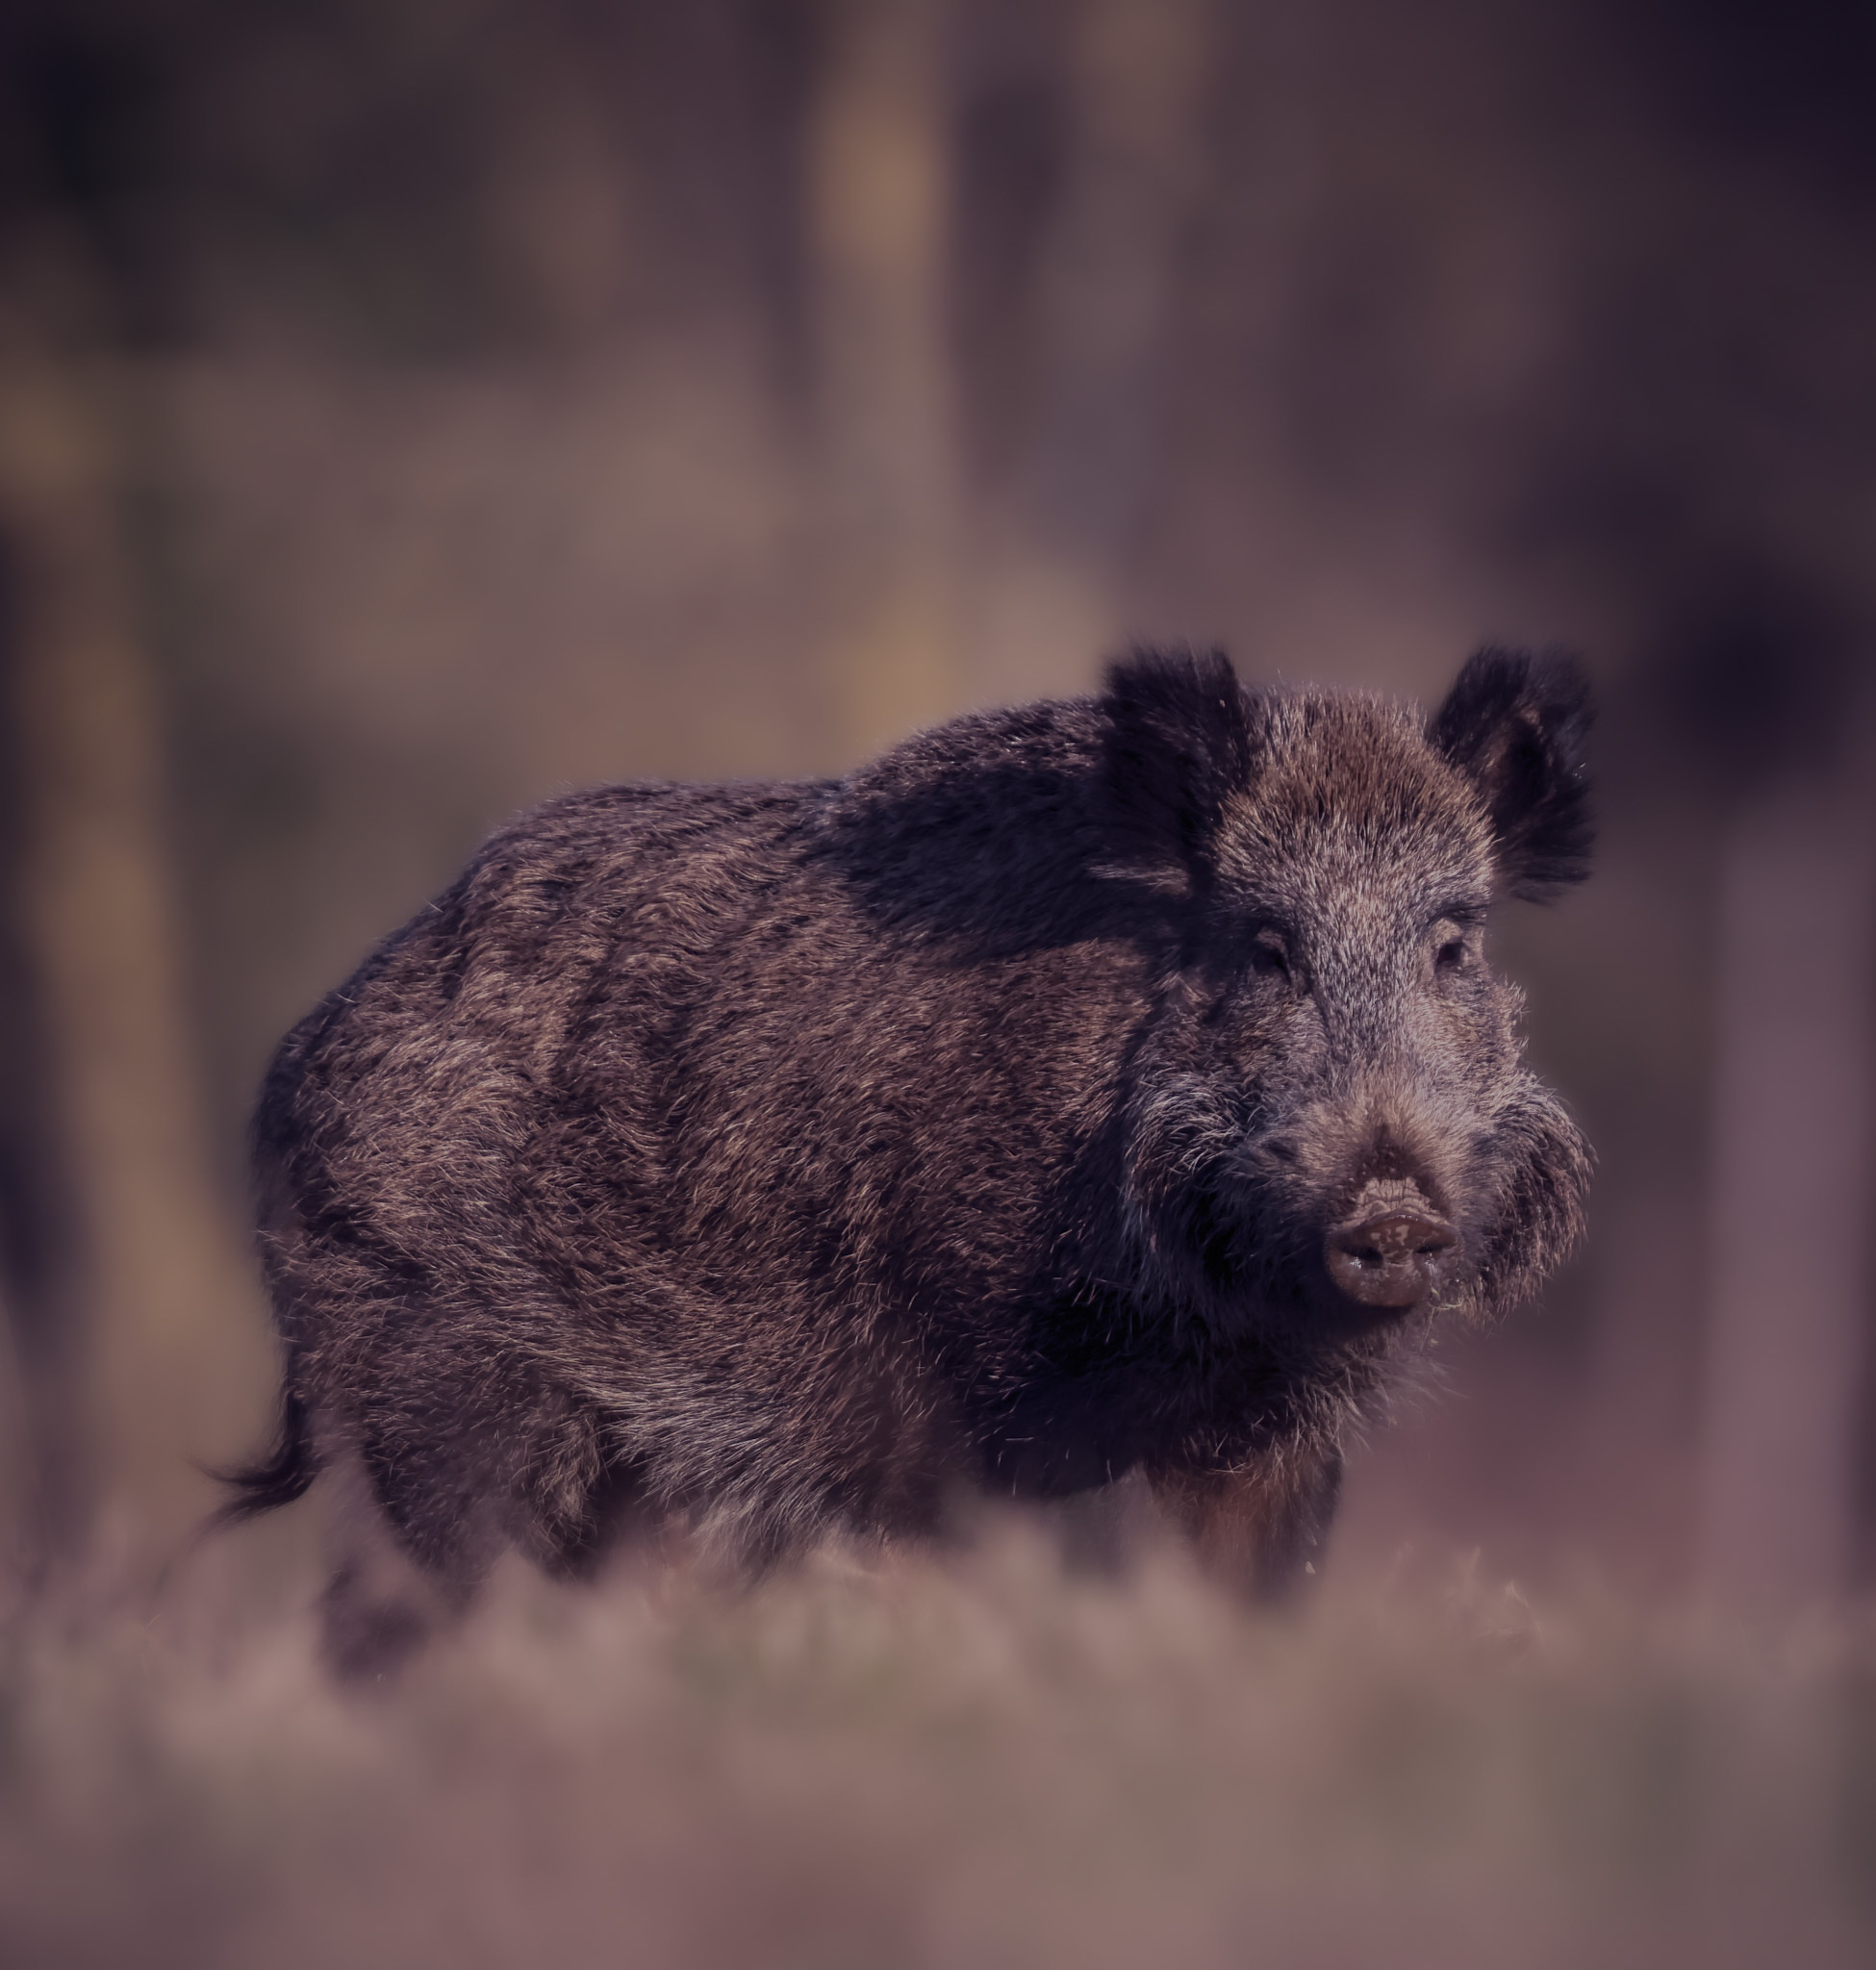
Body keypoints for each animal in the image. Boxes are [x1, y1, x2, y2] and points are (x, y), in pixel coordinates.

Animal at [224, 646, 1592, 1665]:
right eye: (1265, 946)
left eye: (1454, 944)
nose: (1393, 1207)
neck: (1222, 1323)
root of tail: (300, 1061)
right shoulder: (1000, 1405)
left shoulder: (1276, 1449)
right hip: (439, 1370)